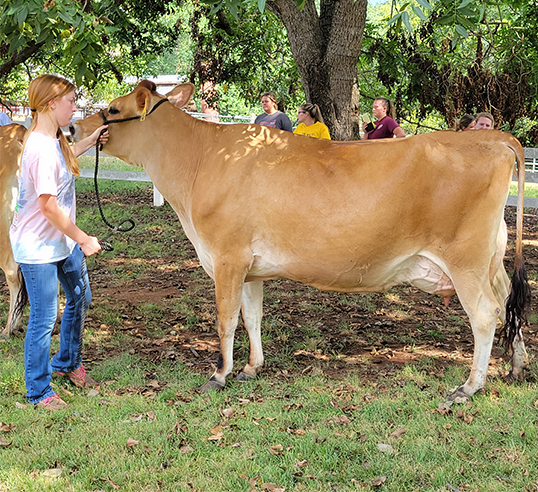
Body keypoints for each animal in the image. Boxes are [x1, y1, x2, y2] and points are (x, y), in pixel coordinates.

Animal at [70, 82, 528, 400]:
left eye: (113, 109)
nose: (73, 126)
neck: (200, 159)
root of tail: (494, 138)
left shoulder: (227, 257)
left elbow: (225, 319)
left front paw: (219, 375)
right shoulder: (251, 267)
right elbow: (252, 317)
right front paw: (252, 368)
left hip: (466, 259)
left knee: (486, 314)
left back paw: (470, 386)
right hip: (491, 258)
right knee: (509, 302)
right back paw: (517, 368)